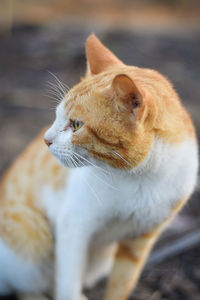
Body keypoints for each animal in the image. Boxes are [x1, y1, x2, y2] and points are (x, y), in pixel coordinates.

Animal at [0, 32, 198, 300]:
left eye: (76, 125)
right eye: (57, 116)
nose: (46, 140)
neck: (142, 176)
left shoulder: (139, 242)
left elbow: (121, 285)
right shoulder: (74, 225)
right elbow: (68, 282)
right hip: (32, 242)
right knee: (26, 284)